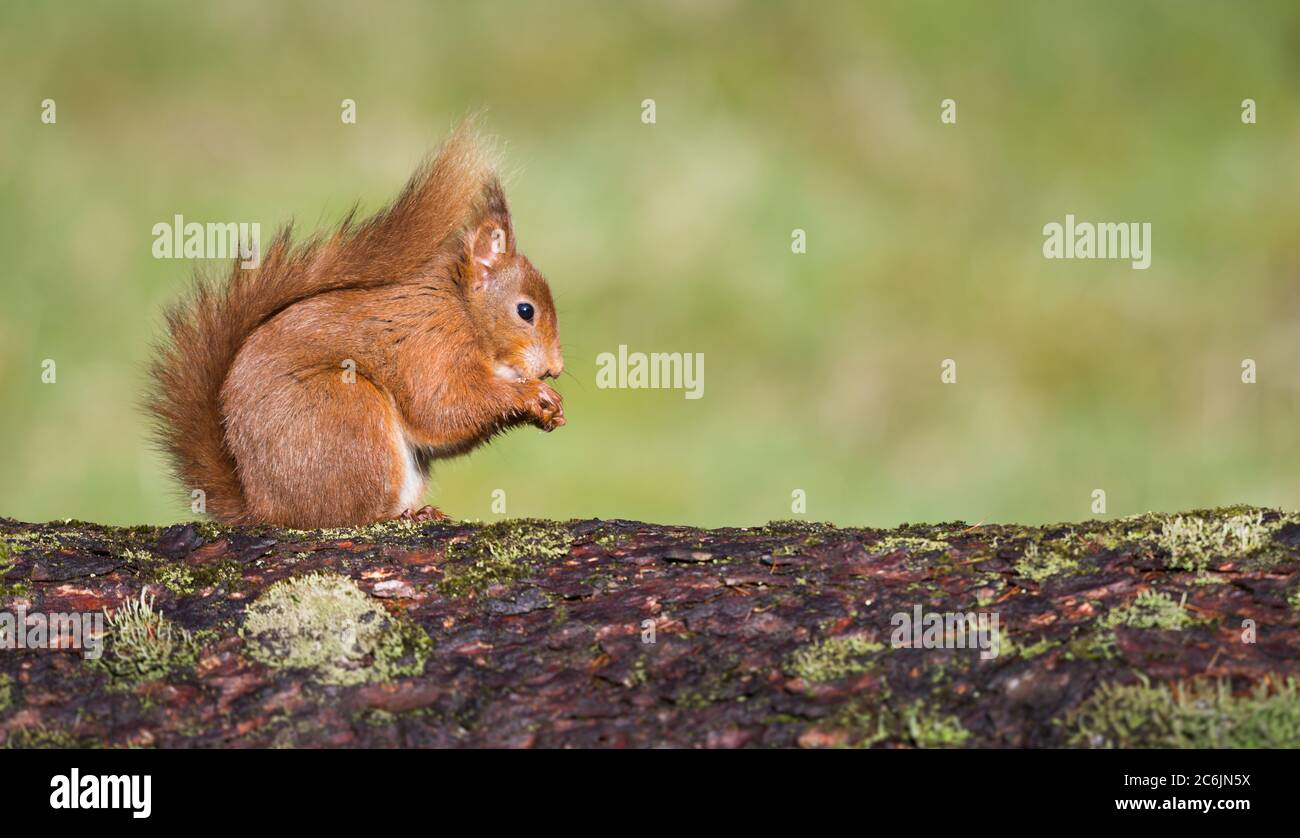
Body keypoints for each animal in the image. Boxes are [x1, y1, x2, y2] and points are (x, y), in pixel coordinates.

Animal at [147, 122, 564, 530]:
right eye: (525, 311)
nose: (554, 369)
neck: (462, 311)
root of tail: (264, 510)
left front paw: (549, 410)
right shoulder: (429, 346)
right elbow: (442, 409)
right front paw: (529, 394)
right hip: (348, 413)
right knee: (351, 515)